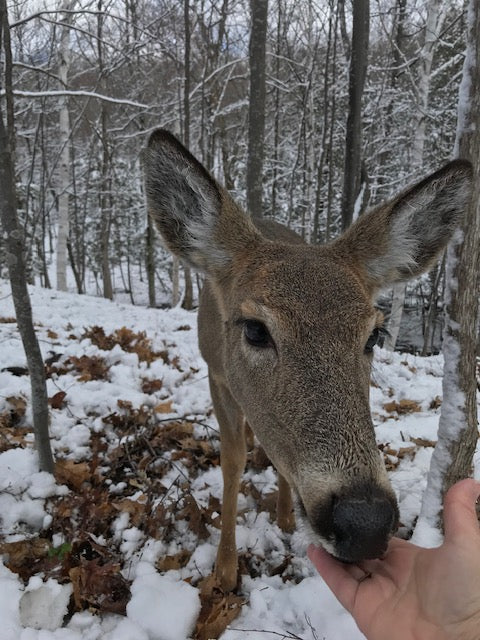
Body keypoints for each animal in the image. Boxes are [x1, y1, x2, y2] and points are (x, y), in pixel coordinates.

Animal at [143, 127, 472, 592]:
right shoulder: (217, 374)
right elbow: (233, 460)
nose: (365, 523)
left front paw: (279, 522)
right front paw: (225, 571)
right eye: (254, 329)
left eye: (375, 334)